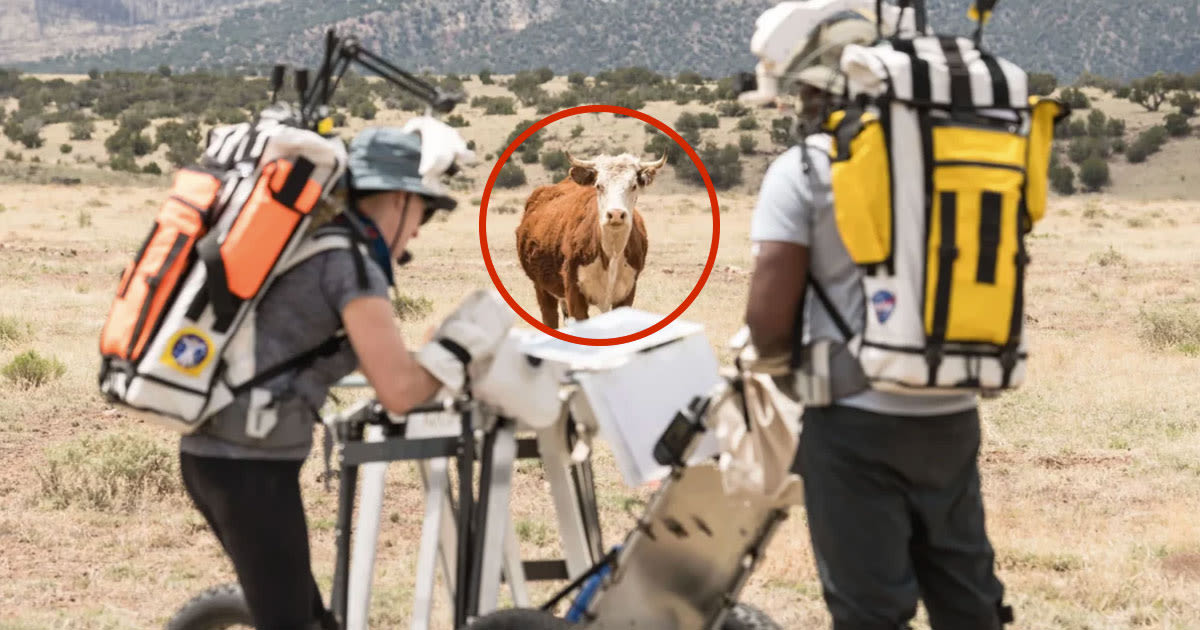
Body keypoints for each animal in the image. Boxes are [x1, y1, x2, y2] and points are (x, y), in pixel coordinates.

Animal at [513, 153, 667, 328]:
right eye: (599, 186)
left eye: (633, 186)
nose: (615, 214)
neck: (612, 253)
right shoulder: (574, 293)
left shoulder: (627, 294)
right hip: (542, 289)